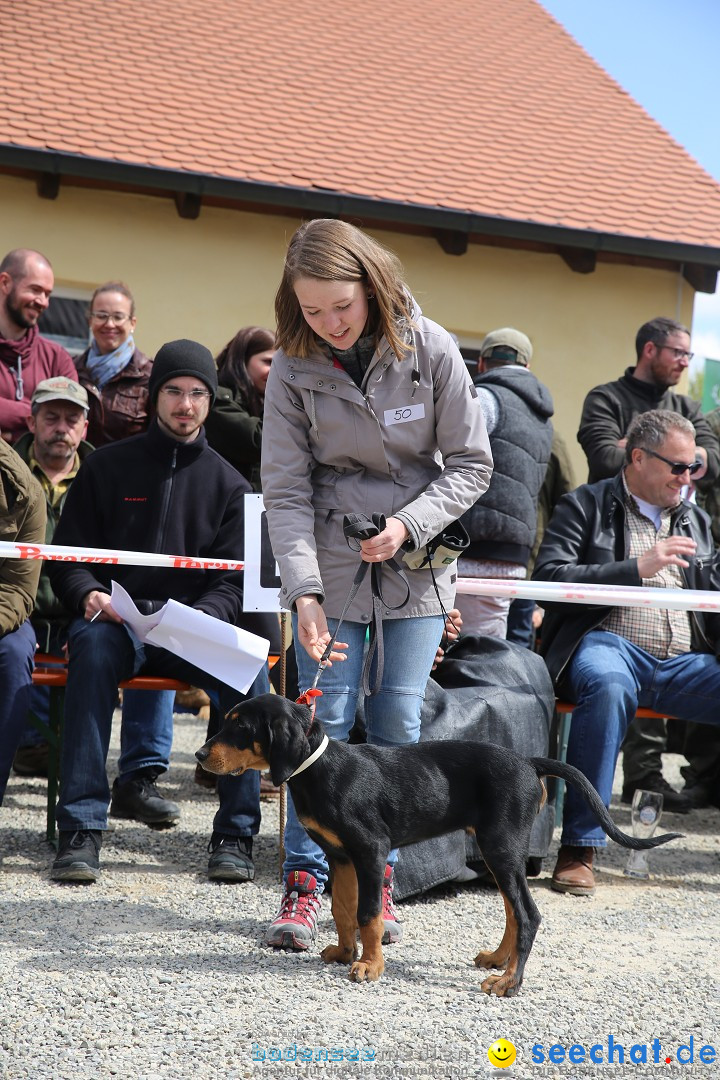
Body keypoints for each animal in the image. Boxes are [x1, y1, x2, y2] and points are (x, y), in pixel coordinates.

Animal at [197, 691, 682, 993]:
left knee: (528, 913)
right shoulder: (341, 856)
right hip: (496, 849)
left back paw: (509, 983)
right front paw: (343, 952)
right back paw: (498, 960)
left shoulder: (371, 850)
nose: (201, 755)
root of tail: (529, 761)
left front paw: (371, 965)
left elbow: (369, 913)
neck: (319, 769)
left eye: (240, 726)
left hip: (501, 846)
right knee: (513, 909)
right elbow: (344, 910)